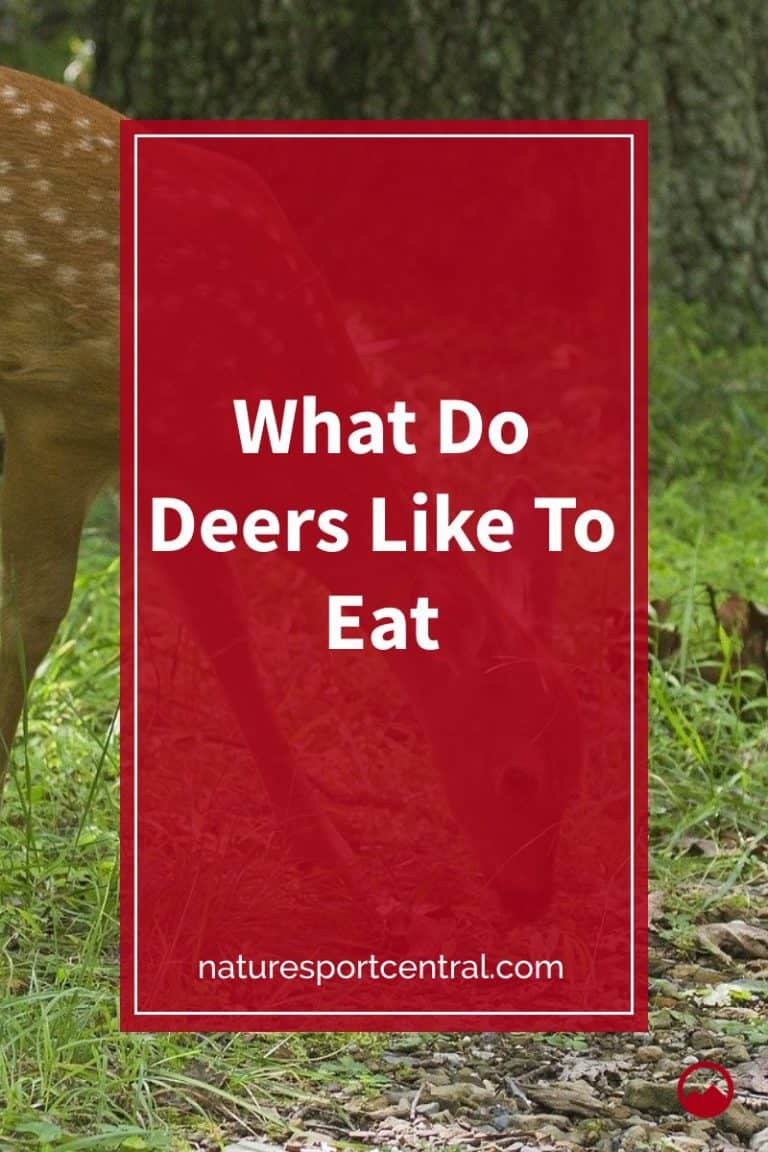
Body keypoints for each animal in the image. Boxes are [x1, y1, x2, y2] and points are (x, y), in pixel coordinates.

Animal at [0, 66, 581, 921]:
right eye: (518, 776)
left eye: (579, 773)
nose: (529, 900)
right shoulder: (55, 413)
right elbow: (34, 615)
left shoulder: (163, 472)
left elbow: (230, 641)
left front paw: (345, 874)